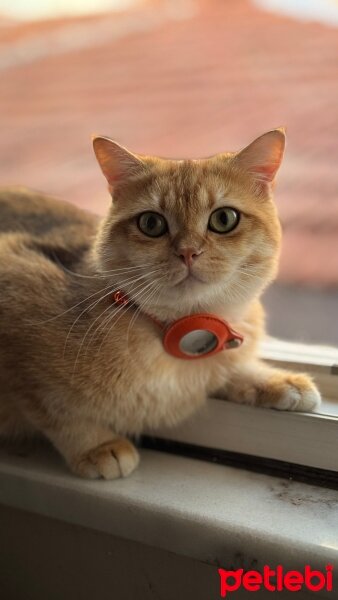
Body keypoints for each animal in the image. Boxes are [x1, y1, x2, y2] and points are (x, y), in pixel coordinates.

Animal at [0, 130, 320, 478]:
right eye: (151, 224)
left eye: (224, 218)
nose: (188, 252)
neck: (177, 332)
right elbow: (53, 408)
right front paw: (98, 445)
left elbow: (229, 367)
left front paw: (275, 380)